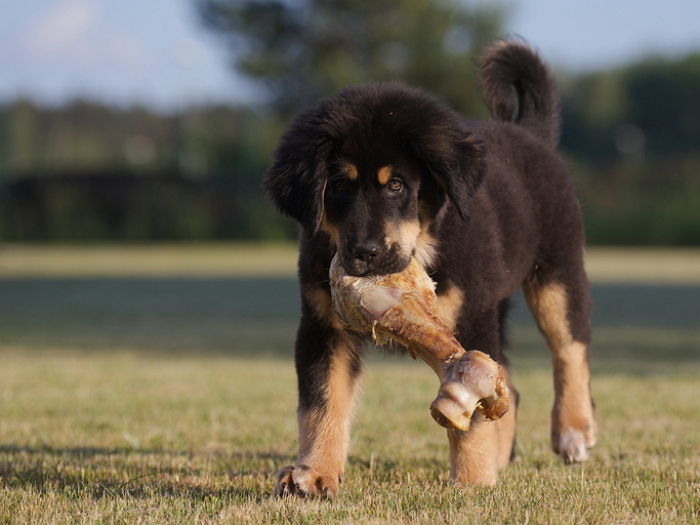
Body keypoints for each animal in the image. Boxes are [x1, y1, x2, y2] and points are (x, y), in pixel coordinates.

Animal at [262, 41, 596, 496]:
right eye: (341, 185)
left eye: (397, 185)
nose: (364, 253)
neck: (424, 241)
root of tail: (529, 134)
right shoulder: (322, 325)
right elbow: (322, 403)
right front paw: (314, 473)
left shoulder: (470, 317)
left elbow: (472, 412)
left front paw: (472, 481)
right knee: (511, 387)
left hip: (556, 273)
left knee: (570, 350)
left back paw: (573, 431)